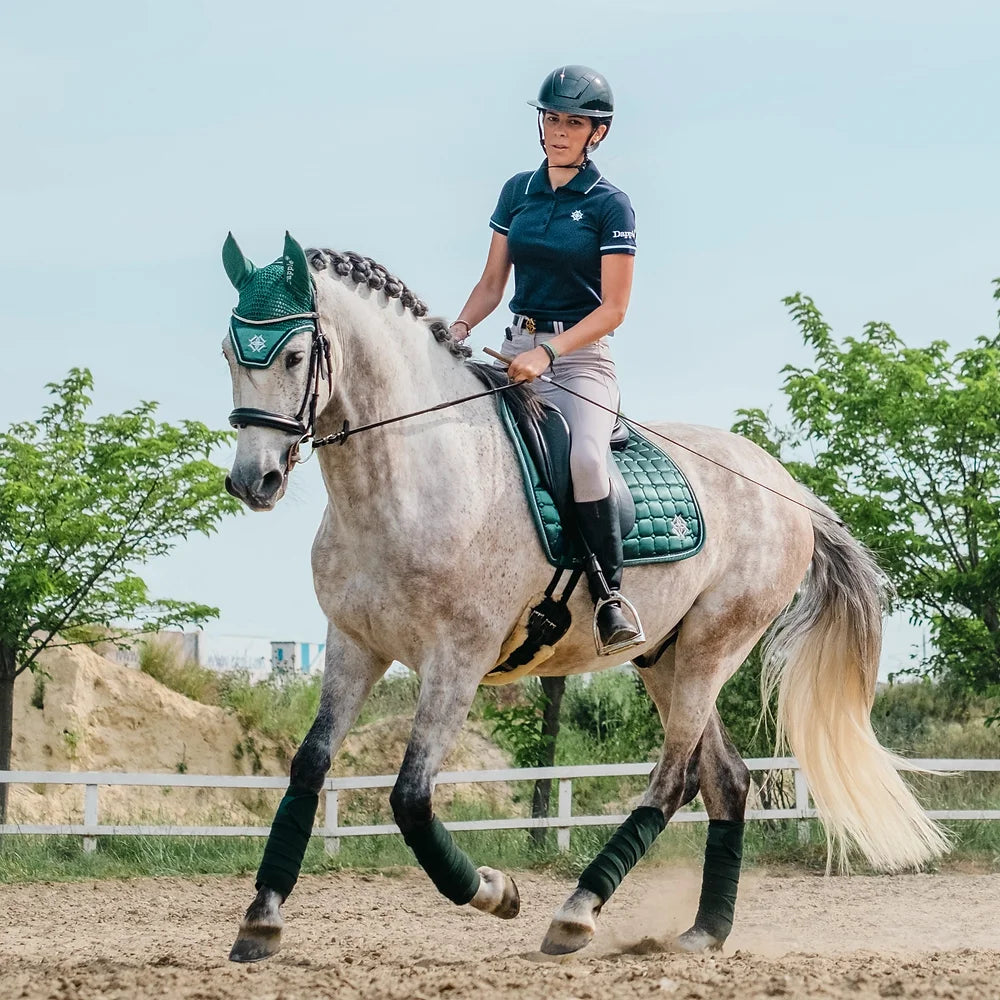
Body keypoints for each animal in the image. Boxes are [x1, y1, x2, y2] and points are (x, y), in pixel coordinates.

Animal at [221, 232, 944, 960]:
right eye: (229, 351)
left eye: (294, 355)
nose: (253, 481)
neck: (414, 477)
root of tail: (787, 487)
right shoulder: (352, 645)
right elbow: (308, 768)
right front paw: (261, 918)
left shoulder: (457, 660)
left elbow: (411, 798)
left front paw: (496, 892)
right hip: (666, 655)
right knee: (725, 779)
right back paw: (704, 930)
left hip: (714, 645)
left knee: (673, 778)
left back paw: (577, 912)